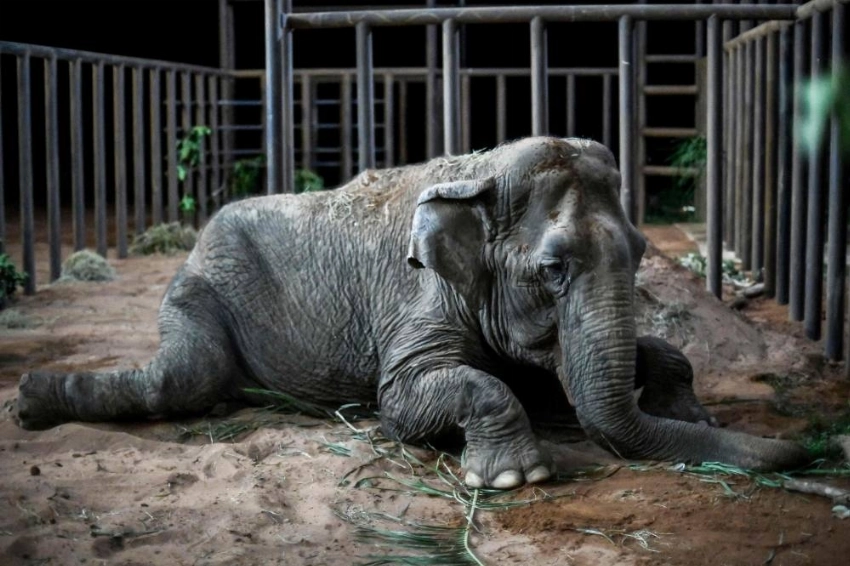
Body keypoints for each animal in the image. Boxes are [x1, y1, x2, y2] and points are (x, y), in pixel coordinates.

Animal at [16, 136, 808, 489]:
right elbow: (406, 397)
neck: (482, 176)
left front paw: (690, 412)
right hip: (201, 285)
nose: (812, 451)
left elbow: (566, 373)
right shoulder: (418, 297)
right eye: (553, 270)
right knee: (185, 377)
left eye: (643, 251)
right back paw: (27, 402)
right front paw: (512, 481)